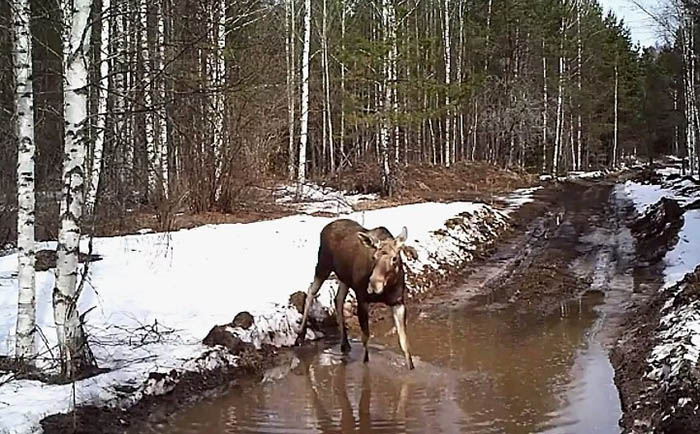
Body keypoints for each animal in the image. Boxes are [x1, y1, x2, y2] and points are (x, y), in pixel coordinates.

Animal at [296, 220, 416, 370]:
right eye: (374, 257)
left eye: (394, 258)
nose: (373, 286)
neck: (388, 288)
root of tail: (327, 227)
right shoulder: (362, 298)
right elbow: (365, 338)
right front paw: (365, 364)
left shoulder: (398, 302)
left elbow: (404, 341)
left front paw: (411, 367)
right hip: (323, 265)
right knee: (311, 291)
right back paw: (300, 336)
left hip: (344, 278)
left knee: (337, 298)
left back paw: (345, 343)